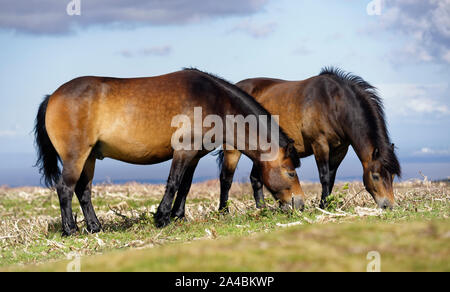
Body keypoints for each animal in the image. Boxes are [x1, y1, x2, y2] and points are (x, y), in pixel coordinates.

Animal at [34, 68, 302, 235]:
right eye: (290, 172)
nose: (299, 204)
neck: (214, 102)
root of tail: (53, 96)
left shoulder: (194, 155)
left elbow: (185, 186)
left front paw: (179, 216)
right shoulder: (183, 150)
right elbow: (173, 182)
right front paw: (162, 217)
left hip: (89, 157)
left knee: (83, 191)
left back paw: (94, 227)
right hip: (75, 157)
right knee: (65, 189)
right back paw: (71, 230)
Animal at [217, 67, 400, 211]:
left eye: (392, 176)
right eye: (375, 176)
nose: (388, 206)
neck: (333, 104)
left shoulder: (340, 150)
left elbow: (331, 177)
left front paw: (326, 204)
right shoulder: (320, 144)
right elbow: (324, 176)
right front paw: (323, 206)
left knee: (255, 179)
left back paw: (262, 209)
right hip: (232, 149)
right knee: (226, 178)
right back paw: (224, 212)